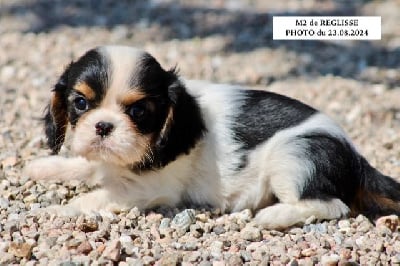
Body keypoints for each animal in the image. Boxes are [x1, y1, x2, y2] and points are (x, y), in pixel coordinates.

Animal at [25, 45, 400, 229]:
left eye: (139, 112)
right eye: (81, 103)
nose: (103, 126)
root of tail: (356, 157)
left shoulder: (149, 188)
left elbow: (98, 196)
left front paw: (58, 211)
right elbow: (85, 164)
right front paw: (44, 167)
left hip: (295, 155)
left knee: (332, 205)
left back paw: (272, 217)